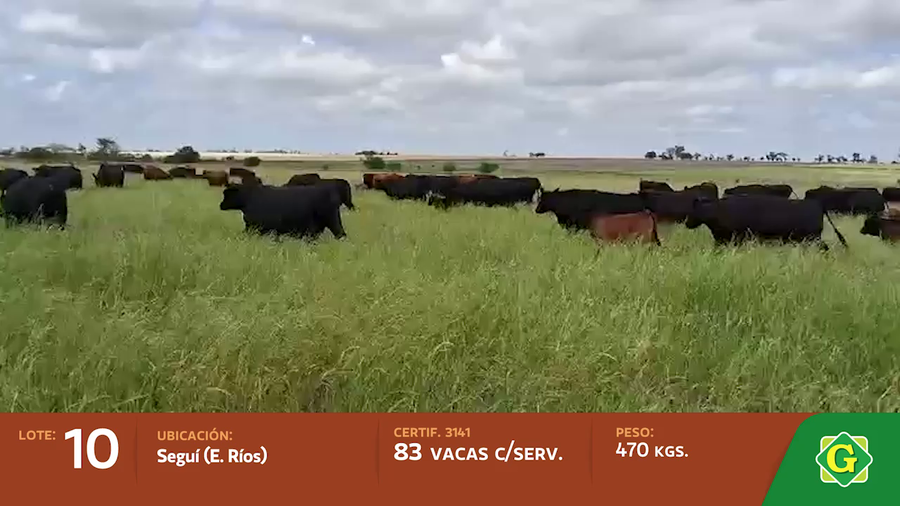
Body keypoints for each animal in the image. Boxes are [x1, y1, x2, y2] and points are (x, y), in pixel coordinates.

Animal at [685, 195, 845, 249]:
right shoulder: (721, 239)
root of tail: (819, 204)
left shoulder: (737, 238)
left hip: (813, 237)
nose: (686, 223)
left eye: (693, 211)